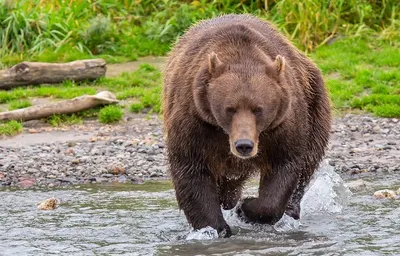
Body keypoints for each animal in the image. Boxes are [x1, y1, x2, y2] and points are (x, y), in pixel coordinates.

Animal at [161, 13, 332, 238]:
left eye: (258, 109)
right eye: (230, 108)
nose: (244, 145)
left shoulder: (281, 125)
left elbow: (284, 167)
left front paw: (245, 209)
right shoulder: (195, 121)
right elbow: (192, 170)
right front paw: (216, 228)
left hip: (314, 102)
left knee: (308, 161)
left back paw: (289, 210)